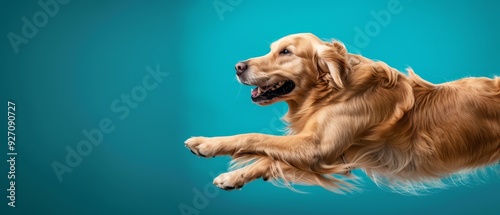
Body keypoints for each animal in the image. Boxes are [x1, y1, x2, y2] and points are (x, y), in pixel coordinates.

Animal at [185, 33, 500, 193]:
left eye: (286, 52)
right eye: (273, 49)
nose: (237, 66)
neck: (330, 92)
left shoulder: (318, 147)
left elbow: (255, 138)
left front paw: (206, 144)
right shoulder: (332, 152)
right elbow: (268, 157)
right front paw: (234, 177)